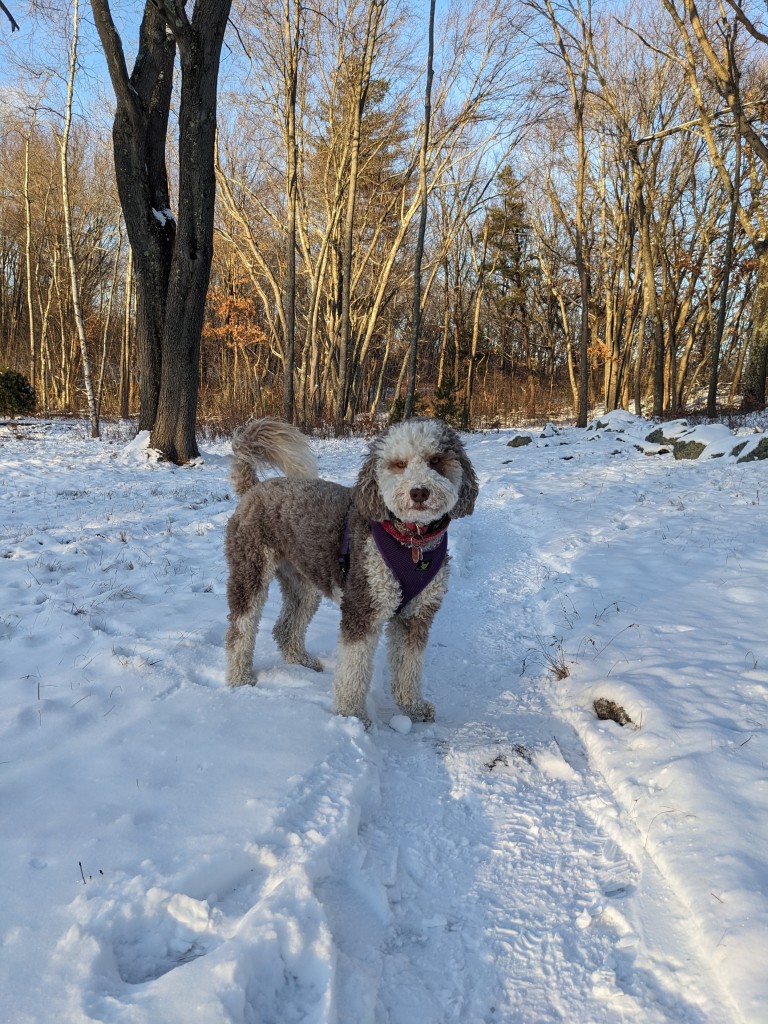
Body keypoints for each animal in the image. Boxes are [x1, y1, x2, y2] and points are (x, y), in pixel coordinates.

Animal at [222, 415, 479, 729]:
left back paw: (302, 661)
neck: (411, 542)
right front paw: (351, 717)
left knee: (286, 627)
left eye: (436, 460)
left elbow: (409, 667)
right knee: (241, 628)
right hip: (250, 572)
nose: (419, 492)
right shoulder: (363, 606)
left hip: (303, 583)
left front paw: (413, 707)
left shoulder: (416, 615)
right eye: (399, 464)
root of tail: (253, 489)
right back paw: (239, 677)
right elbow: (354, 670)